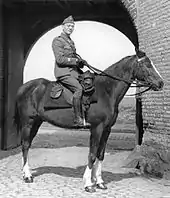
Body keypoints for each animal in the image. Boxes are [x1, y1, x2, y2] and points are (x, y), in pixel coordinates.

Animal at [13, 48, 163, 193]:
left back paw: (26, 173)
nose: (161, 83)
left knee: (27, 145)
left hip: (36, 122)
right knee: (25, 145)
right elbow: (92, 154)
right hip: (28, 122)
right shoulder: (97, 128)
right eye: (146, 65)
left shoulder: (107, 129)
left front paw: (100, 182)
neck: (106, 91)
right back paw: (27, 176)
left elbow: (100, 155)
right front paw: (88, 184)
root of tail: (24, 88)